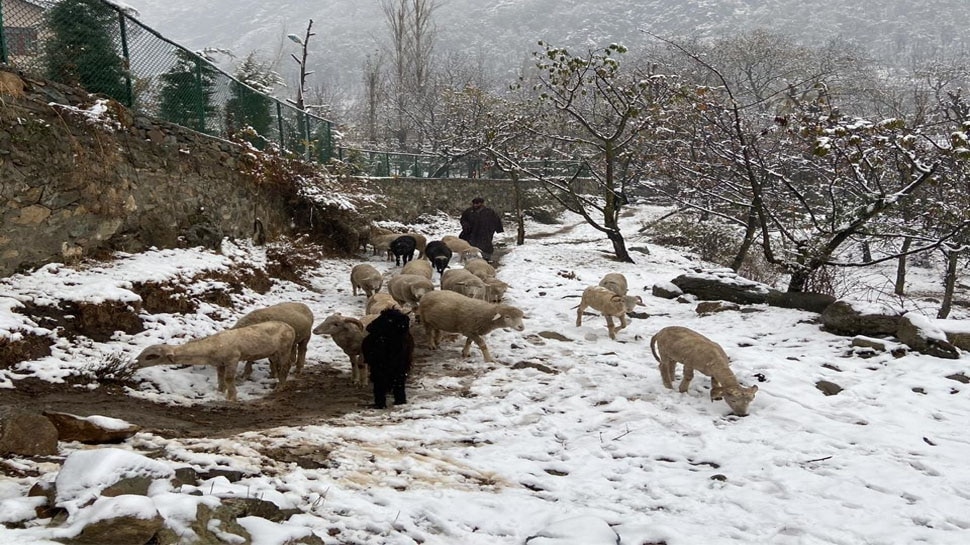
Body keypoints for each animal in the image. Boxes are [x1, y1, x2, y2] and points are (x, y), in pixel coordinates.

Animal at [134, 318, 294, 400]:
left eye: (151, 356)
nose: (134, 364)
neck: (208, 348)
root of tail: (289, 327)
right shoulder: (220, 363)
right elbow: (220, 378)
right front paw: (220, 392)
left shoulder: (232, 359)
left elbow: (229, 379)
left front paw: (231, 397)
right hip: (273, 351)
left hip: (285, 348)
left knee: (285, 366)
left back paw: (280, 386)